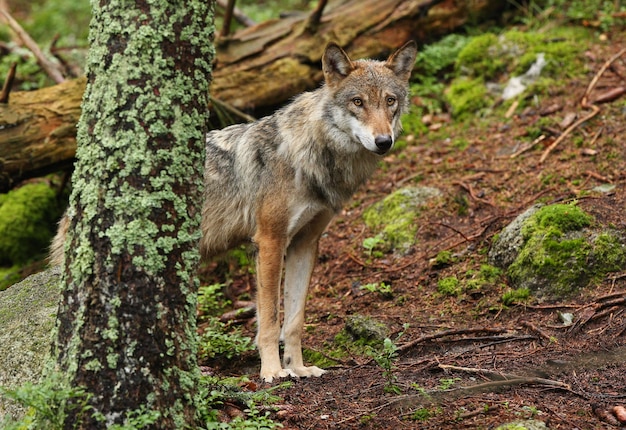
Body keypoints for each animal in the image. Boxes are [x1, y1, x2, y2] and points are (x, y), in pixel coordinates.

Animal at [51, 41, 416, 382]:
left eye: (389, 101)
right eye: (358, 102)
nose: (383, 141)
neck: (312, 156)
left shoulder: (305, 244)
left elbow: (294, 321)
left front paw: (297, 368)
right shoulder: (269, 241)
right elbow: (269, 319)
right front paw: (272, 372)